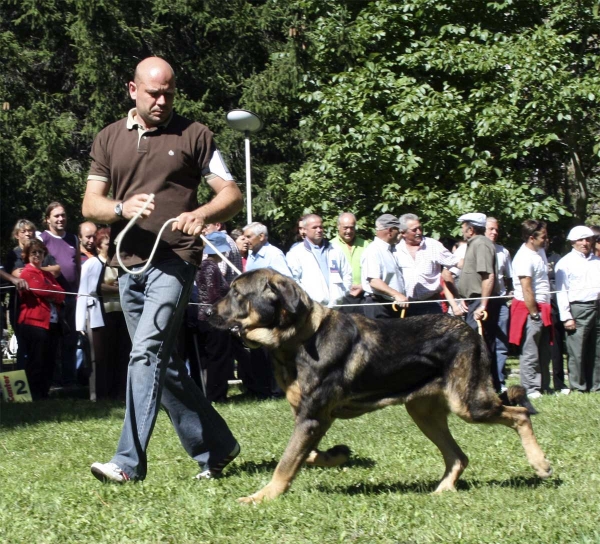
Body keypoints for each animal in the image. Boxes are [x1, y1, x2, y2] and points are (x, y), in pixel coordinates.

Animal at [209, 270, 552, 504]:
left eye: (237, 293)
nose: (209, 311)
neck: (299, 337)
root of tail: (471, 331)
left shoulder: (312, 417)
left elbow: (285, 463)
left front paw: (261, 497)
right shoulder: (310, 418)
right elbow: (303, 455)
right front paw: (336, 455)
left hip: (468, 404)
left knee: (519, 413)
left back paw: (540, 463)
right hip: (424, 413)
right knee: (458, 456)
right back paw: (442, 490)